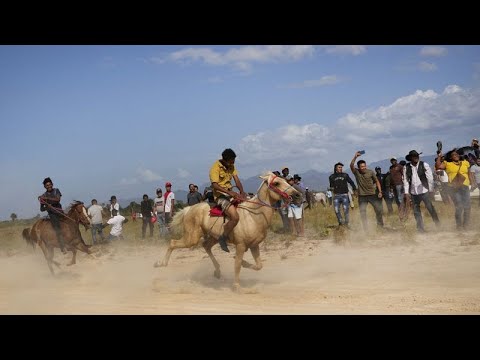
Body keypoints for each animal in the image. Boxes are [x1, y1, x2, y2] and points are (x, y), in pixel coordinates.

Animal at [154, 170, 298, 292]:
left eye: (285, 180)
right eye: (276, 183)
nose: (297, 194)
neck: (253, 215)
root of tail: (189, 209)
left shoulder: (254, 245)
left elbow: (258, 266)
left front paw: (245, 264)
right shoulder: (240, 245)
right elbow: (237, 265)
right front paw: (236, 286)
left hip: (214, 237)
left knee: (206, 246)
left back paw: (217, 271)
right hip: (192, 238)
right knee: (173, 243)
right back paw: (161, 263)